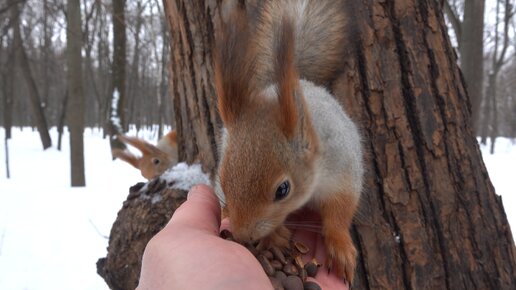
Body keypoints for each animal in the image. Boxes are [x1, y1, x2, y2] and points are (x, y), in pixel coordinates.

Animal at [214, 0, 362, 282]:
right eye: (222, 179)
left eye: (283, 190)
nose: (242, 235)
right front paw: (274, 236)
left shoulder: (343, 170)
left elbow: (341, 210)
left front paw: (340, 247)